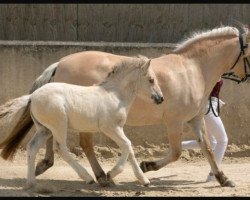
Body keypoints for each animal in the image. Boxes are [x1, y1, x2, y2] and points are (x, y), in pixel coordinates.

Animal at [0, 57, 164, 188]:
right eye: (151, 79)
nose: (160, 98)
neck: (115, 95)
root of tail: (32, 96)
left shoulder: (119, 128)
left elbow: (129, 148)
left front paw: (144, 180)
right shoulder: (110, 128)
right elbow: (127, 144)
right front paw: (110, 174)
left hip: (44, 129)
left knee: (32, 147)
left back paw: (31, 183)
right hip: (59, 126)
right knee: (61, 148)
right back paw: (88, 178)